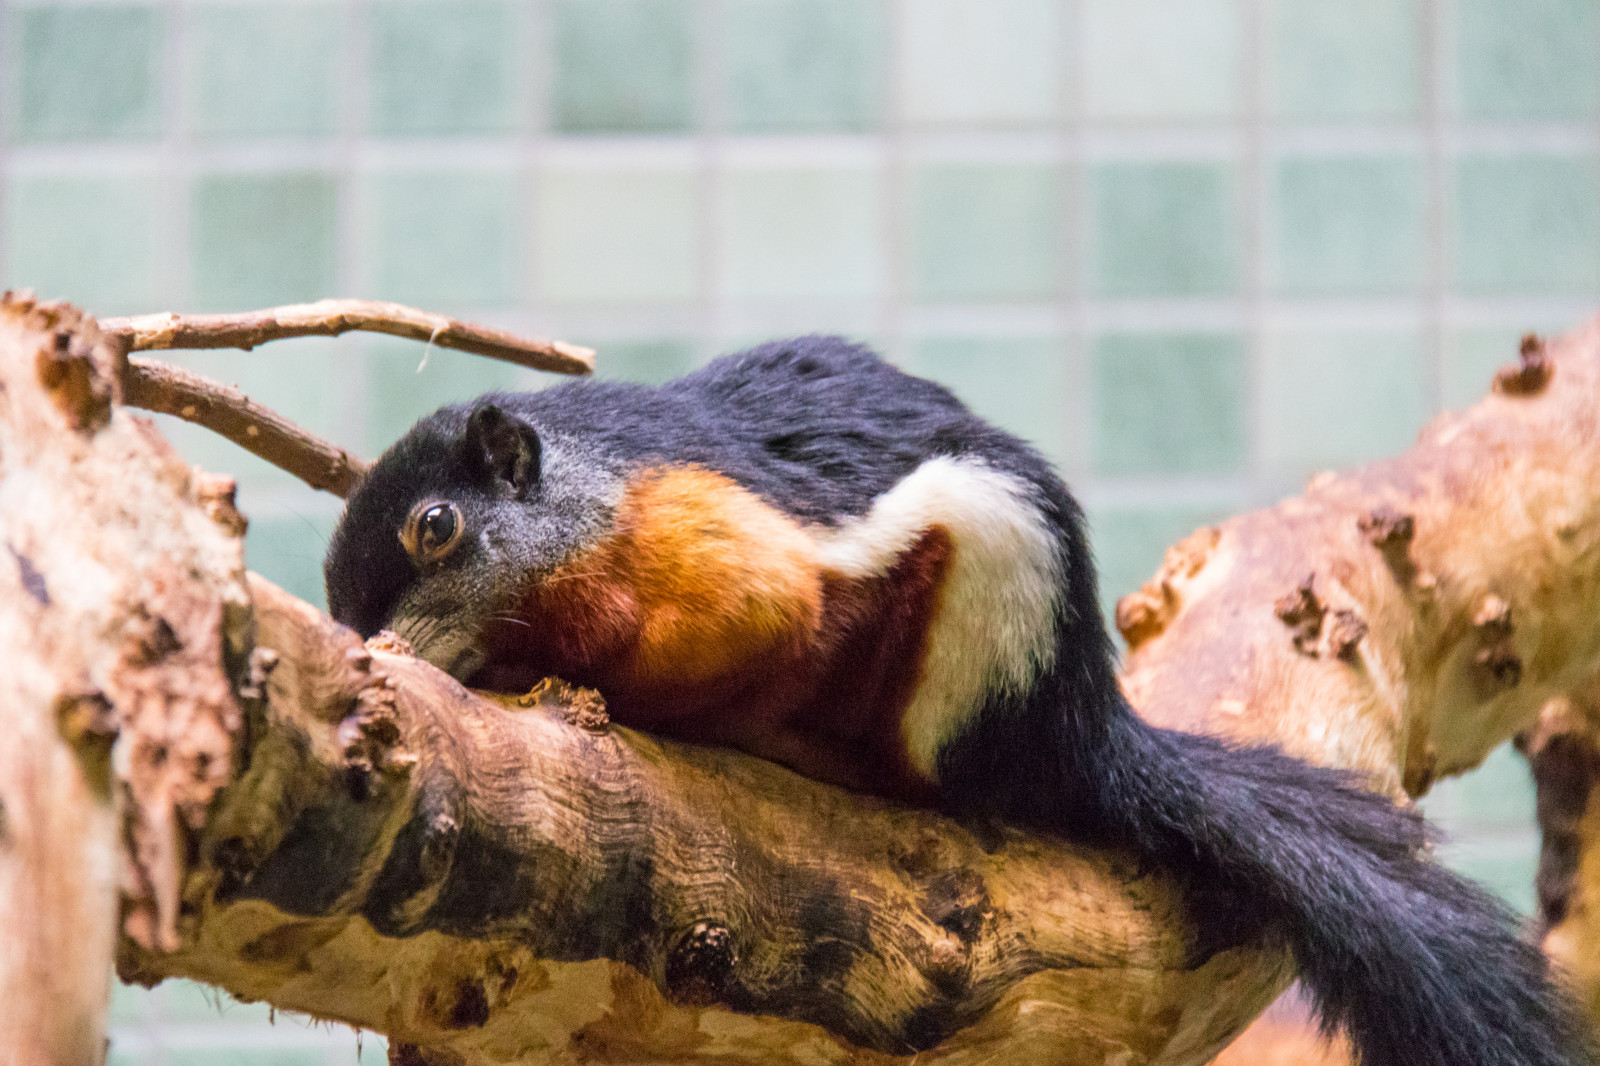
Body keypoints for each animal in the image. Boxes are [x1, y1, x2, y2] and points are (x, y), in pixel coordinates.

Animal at [325, 335, 1588, 1066]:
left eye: (435, 527)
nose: (375, 639)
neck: (592, 494)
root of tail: (1079, 728)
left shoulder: (711, 545)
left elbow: (740, 625)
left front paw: (566, 681)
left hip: (967, 637)